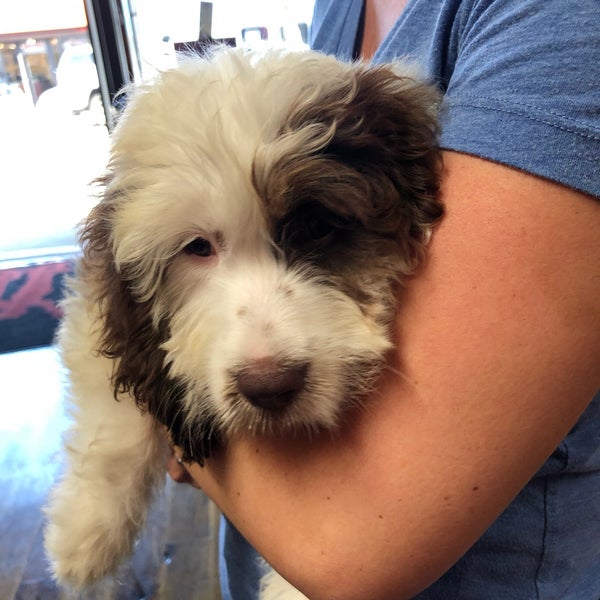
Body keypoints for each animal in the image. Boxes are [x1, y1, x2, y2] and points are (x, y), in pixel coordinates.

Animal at [44, 44, 442, 596]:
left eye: (316, 226)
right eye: (197, 248)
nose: (269, 386)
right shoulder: (98, 305)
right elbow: (115, 419)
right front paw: (84, 538)